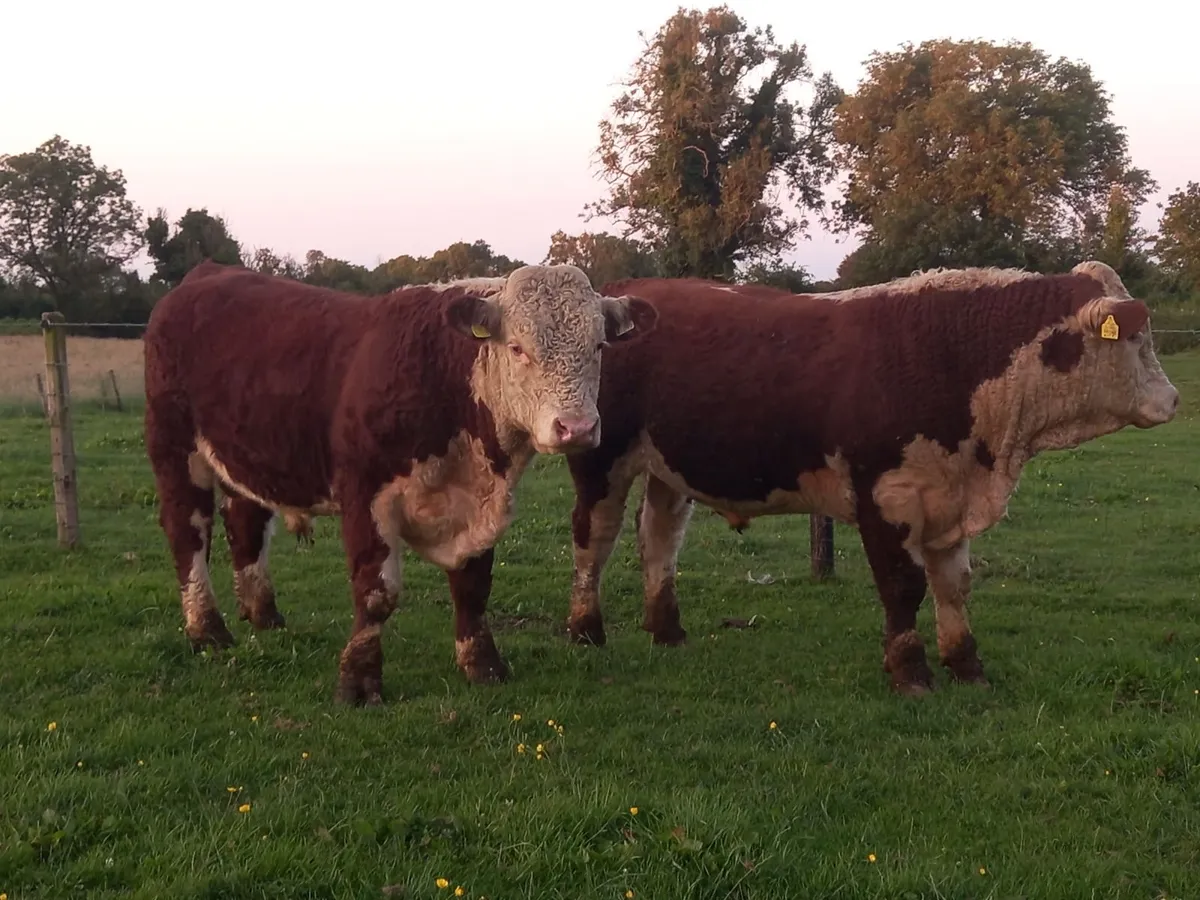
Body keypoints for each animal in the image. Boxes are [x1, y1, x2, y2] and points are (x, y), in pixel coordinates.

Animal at [142, 261, 656, 705]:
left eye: (598, 347)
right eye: (517, 348)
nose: (577, 428)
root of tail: (206, 274)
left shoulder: (479, 503)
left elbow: (473, 585)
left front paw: (482, 664)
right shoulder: (364, 495)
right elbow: (376, 594)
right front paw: (359, 682)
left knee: (245, 525)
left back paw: (263, 614)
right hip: (174, 447)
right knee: (188, 533)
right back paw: (207, 629)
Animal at [550, 260, 1179, 696]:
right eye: (1137, 339)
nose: (1173, 399)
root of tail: (624, 293)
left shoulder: (948, 501)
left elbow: (955, 585)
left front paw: (967, 665)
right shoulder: (887, 498)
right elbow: (904, 587)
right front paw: (911, 672)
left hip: (669, 467)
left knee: (659, 538)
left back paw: (667, 631)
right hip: (600, 458)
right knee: (593, 538)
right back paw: (585, 630)